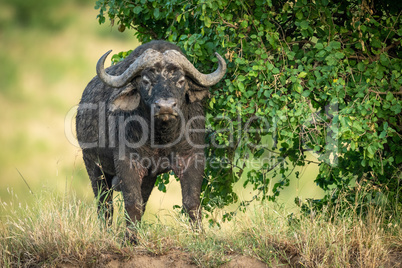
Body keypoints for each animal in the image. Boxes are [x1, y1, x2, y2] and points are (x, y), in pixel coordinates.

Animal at [75, 40, 226, 234]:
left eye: (181, 81)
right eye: (146, 81)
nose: (166, 106)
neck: (161, 137)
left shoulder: (192, 157)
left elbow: (191, 203)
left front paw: (199, 235)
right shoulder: (127, 162)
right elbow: (132, 203)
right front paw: (130, 237)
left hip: (148, 177)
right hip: (93, 165)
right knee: (104, 204)